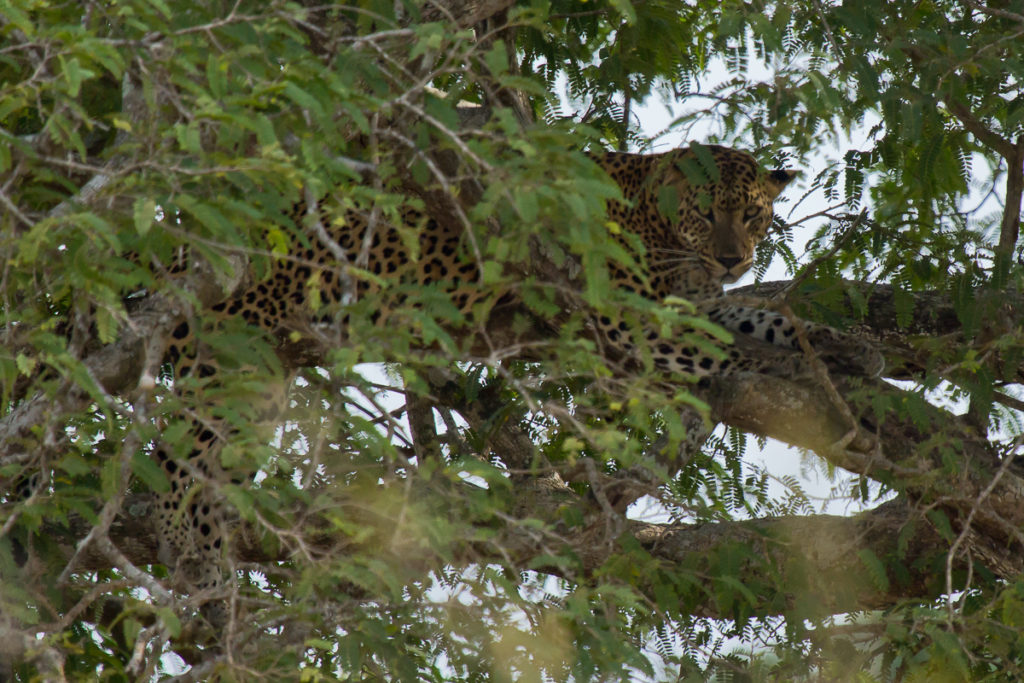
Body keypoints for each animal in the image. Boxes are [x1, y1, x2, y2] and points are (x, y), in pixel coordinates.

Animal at [148, 144, 876, 614]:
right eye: (706, 211)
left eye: (752, 214)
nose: (734, 257)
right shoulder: (628, 318)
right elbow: (726, 344)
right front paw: (808, 361)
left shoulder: (685, 302)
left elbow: (756, 318)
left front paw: (845, 346)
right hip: (227, 361)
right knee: (172, 461)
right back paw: (192, 556)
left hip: (262, 384)